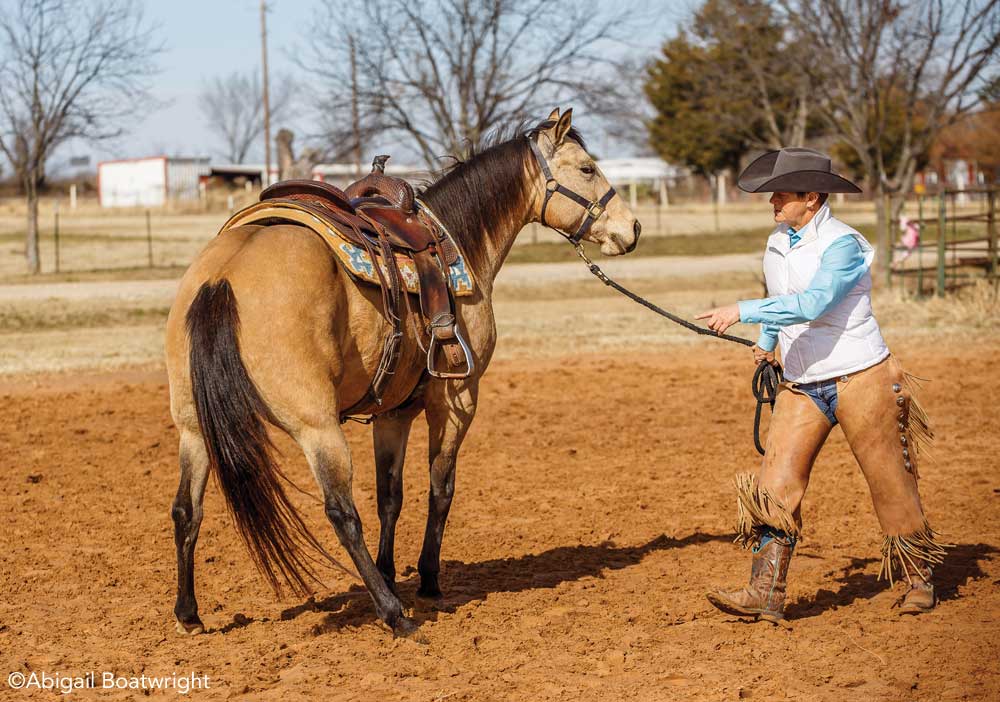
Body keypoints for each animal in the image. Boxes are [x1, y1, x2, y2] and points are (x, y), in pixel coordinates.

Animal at [164, 108, 640, 640]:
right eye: (586, 169)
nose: (633, 228)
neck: (457, 242)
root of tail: (221, 277)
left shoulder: (392, 413)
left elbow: (389, 496)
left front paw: (391, 571)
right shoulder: (456, 400)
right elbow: (440, 488)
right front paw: (428, 580)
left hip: (193, 427)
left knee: (186, 509)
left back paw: (189, 613)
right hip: (316, 427)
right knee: (341, 513)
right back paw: (395, 615)